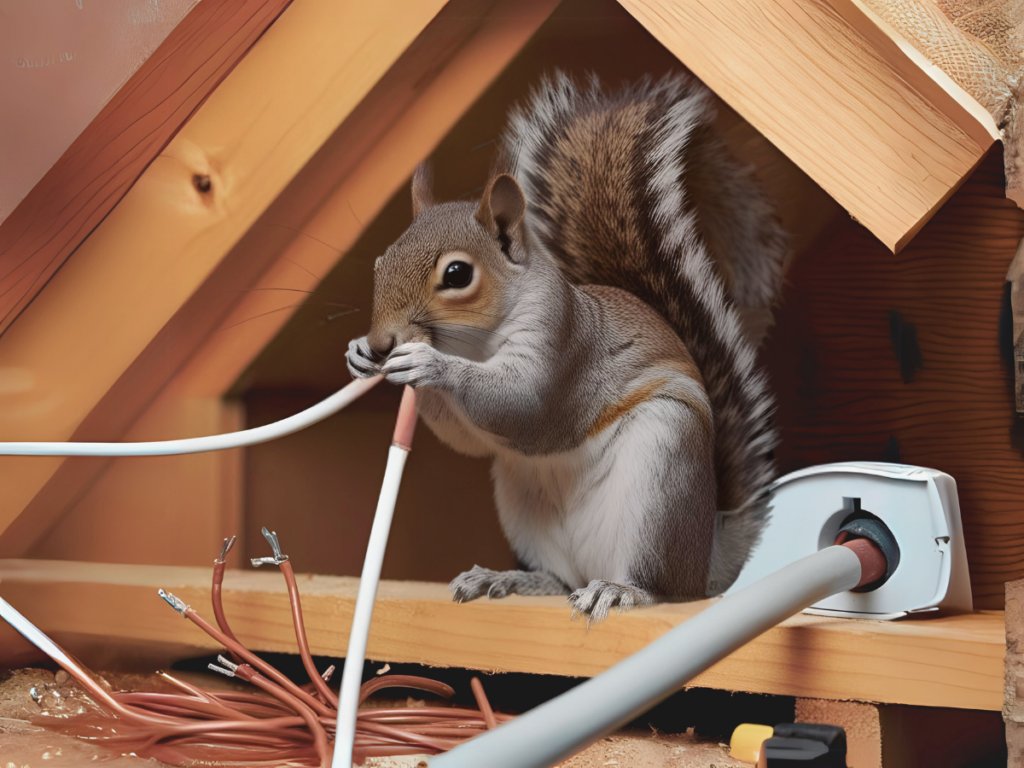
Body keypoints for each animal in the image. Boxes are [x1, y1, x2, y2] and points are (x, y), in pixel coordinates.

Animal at [346, 72, 787, 622]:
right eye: (380, 262)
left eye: (457, 274)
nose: (381, 341)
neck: (475, 346)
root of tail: (705, 561)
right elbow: (466, 438)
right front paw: (359, 354)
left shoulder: (562, 345)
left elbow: (524, 405)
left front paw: (429, 363)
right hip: (523, 503)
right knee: (560, 579)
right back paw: (510, 578)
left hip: (662, 479)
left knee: (660, 586)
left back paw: (621, 590)